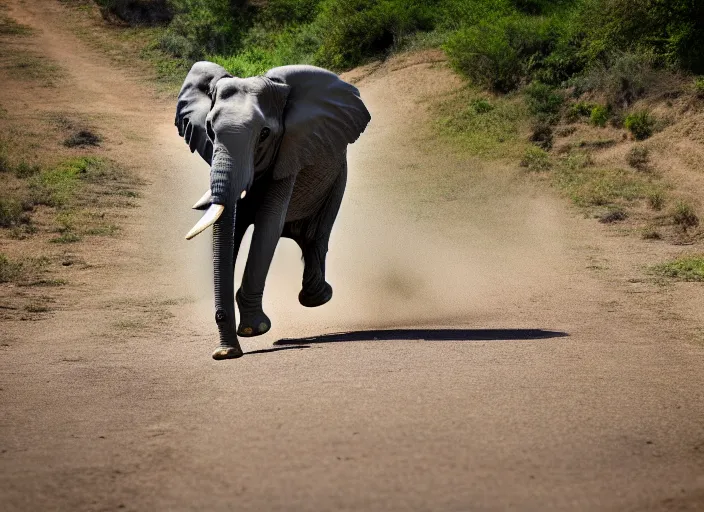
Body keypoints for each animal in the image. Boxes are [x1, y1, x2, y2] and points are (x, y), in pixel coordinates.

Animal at [176, 61, 372, 360]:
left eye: (265, 134)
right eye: (209, 129)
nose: (226, 352)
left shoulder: (290, 151)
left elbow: (269, 224)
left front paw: (254, 330)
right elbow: (231, 228)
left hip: (338, 174)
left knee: (316, 235)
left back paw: (318, 297)